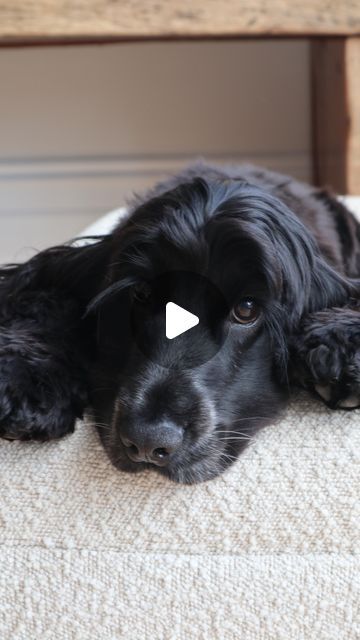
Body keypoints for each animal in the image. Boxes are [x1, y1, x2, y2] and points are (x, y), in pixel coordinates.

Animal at [0, 162, 360, 482]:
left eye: (246, 309)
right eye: (141, 293)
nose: (148, 441)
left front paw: (338, 347)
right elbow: (47, 300)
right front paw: (25, 381)